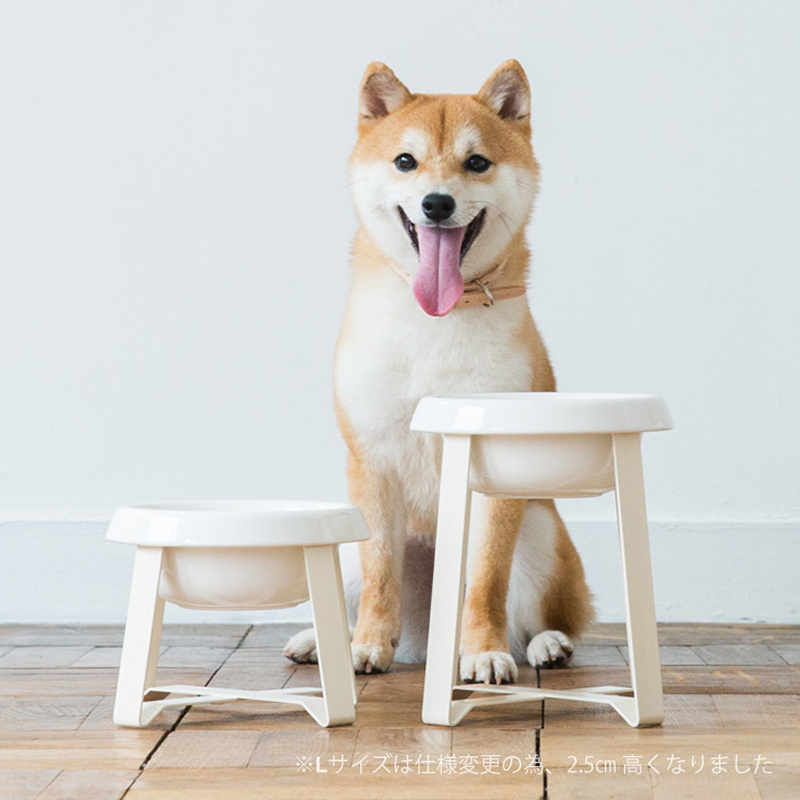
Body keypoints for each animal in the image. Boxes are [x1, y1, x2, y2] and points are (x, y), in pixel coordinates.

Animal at [284, 59, 592, 684]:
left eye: (476, 163)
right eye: (406, 161)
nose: (437, 204)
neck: (436, 316)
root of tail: (426, 641)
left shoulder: (496, 473)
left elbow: (488, 582)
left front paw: (485, 652)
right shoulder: (373, 460)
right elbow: (380, 574)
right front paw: (367, 646)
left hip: (541, 534)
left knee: (544, 615)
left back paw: (545, 645)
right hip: (346, 544)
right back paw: (322, 641)